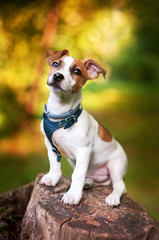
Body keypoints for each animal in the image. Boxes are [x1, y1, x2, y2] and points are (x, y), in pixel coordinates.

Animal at [40, 48, 127, 206]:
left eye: (77, 71)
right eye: (56, 64)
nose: (57, 76)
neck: (61, 115)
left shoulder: (84, 151)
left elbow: (78, 175)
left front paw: (73, 195)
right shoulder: (50, 144)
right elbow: (54, 162)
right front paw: (53, 177)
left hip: (115, 166)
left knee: (120, 186)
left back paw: (113, 197)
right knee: (96, 180)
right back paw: (88, 183)